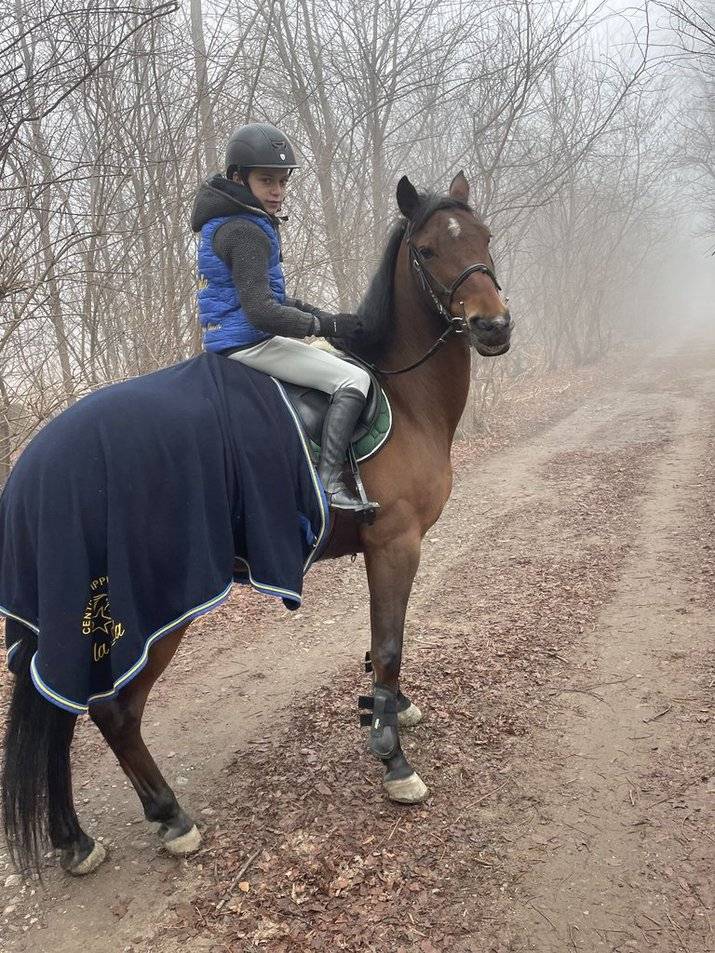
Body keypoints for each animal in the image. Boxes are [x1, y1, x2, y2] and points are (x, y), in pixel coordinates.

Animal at [1, 170, 511, 877]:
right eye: (429, 250)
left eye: (483, 235)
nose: (493, 326)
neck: (401, 398)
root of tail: (35, 463)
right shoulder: (395, 544)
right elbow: (389, 644)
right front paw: (393, 760)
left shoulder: (383, 551)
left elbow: (380, 642)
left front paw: (389, 710)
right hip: (152, 614)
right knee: (113, 710)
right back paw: (171, 817)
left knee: (64, 708)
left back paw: (73, 837)